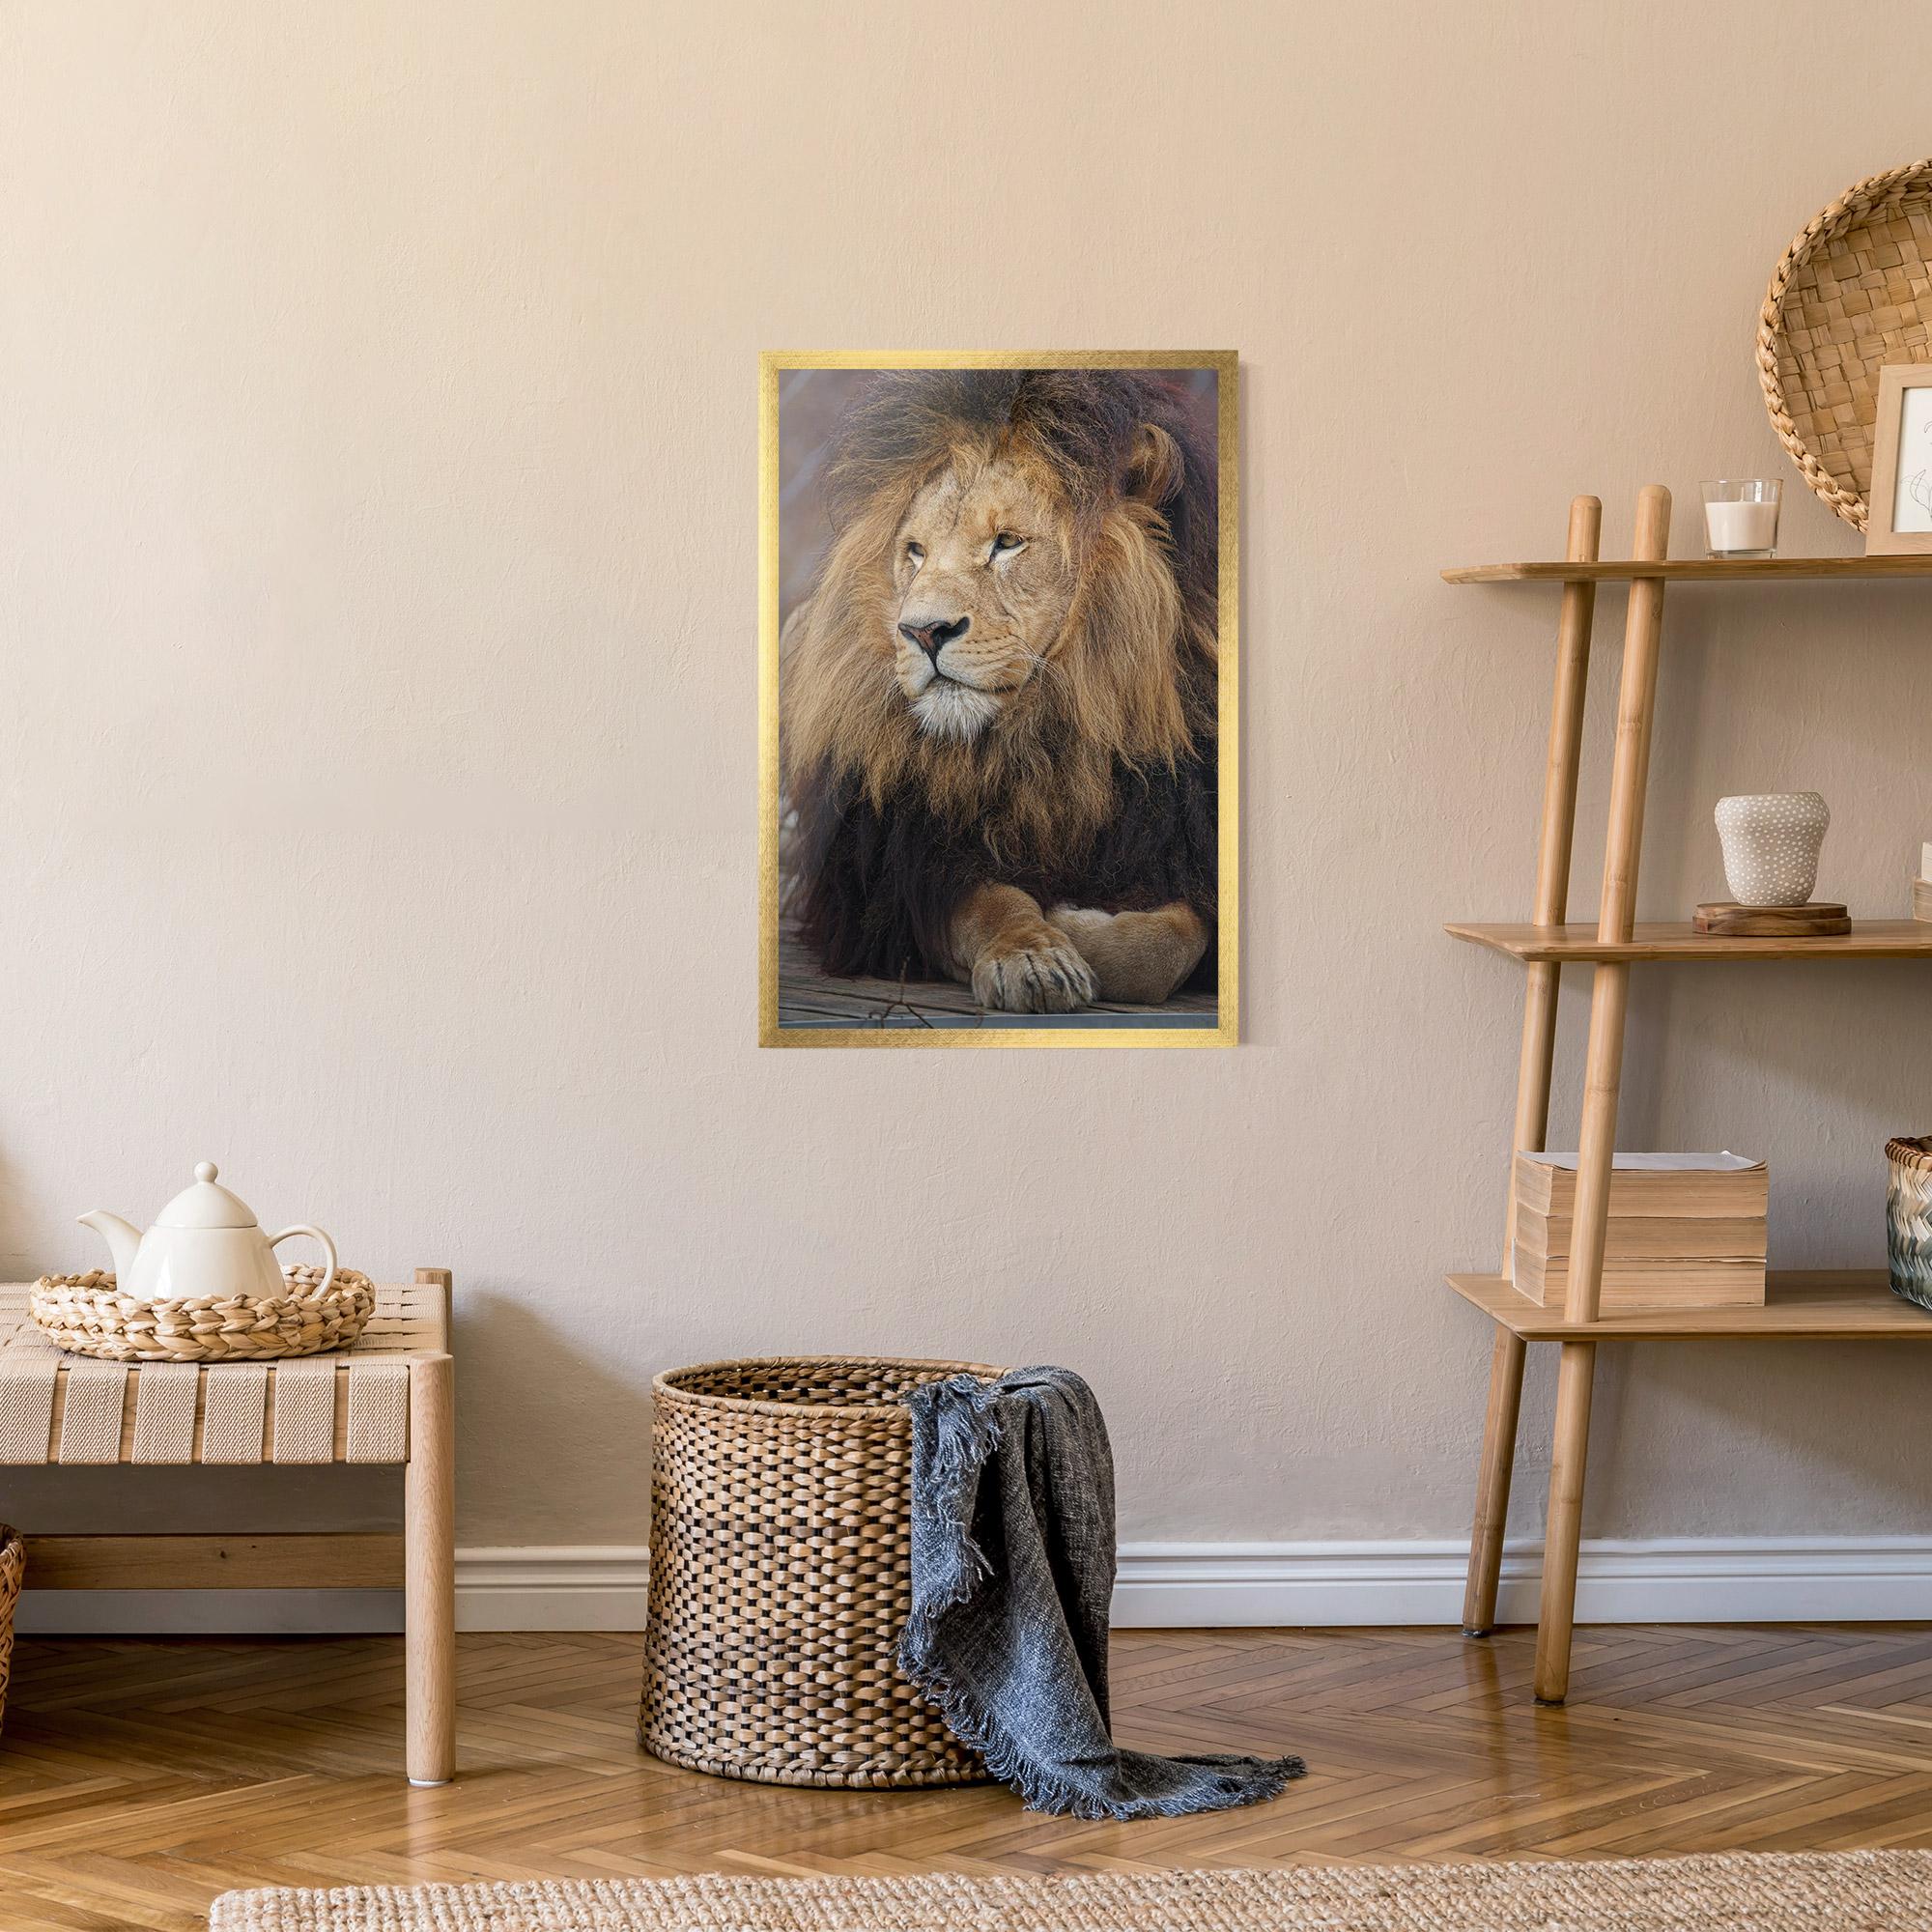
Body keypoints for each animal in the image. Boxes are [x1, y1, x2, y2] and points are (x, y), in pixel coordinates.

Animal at [780, 369, 1218, 1015]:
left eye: (1008, 542)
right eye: (915, 552)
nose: (921, 631)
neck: (1047, 740)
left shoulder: (1178, 845)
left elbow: (1167, 946)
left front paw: (1077, 919)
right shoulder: (902, 875)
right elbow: (991, 905)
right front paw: (1035, 956)